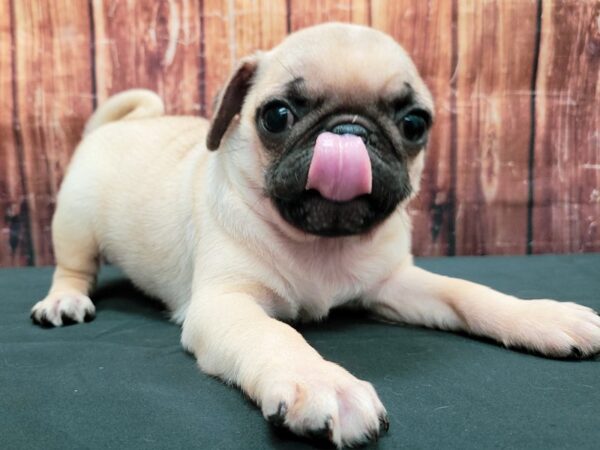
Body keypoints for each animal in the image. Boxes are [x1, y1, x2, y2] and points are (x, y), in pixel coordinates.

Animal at [31, 23, 600, 446]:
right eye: (277, 115)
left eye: (414, 124)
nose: (350, 130)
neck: (321, 244)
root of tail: (115, 125)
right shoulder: (225, 304)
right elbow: (275, 334)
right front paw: (324, 382)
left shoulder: (394, 283)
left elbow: (468, 293)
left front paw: (543, 317)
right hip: (76, 224)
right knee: (73, 267)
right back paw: (64, 301)